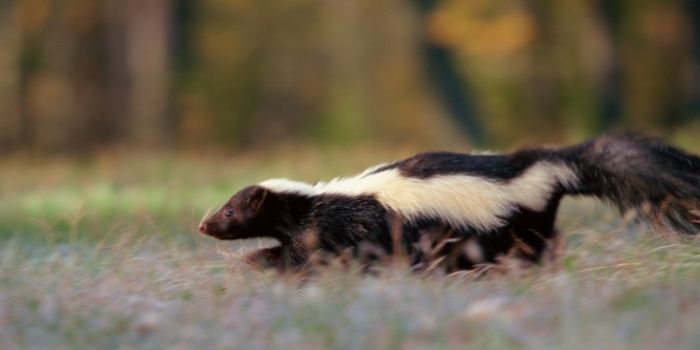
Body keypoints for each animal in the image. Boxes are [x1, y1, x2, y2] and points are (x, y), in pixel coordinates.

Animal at [198, 133, 700, 272]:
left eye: (230, 211)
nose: (203, 225)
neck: (314, 202)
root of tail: (543, 168)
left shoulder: (353, 227)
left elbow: (329, 258)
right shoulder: (311, 233)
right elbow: (293, 254)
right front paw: (256, 261)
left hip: (509, 225)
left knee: (533, 249)